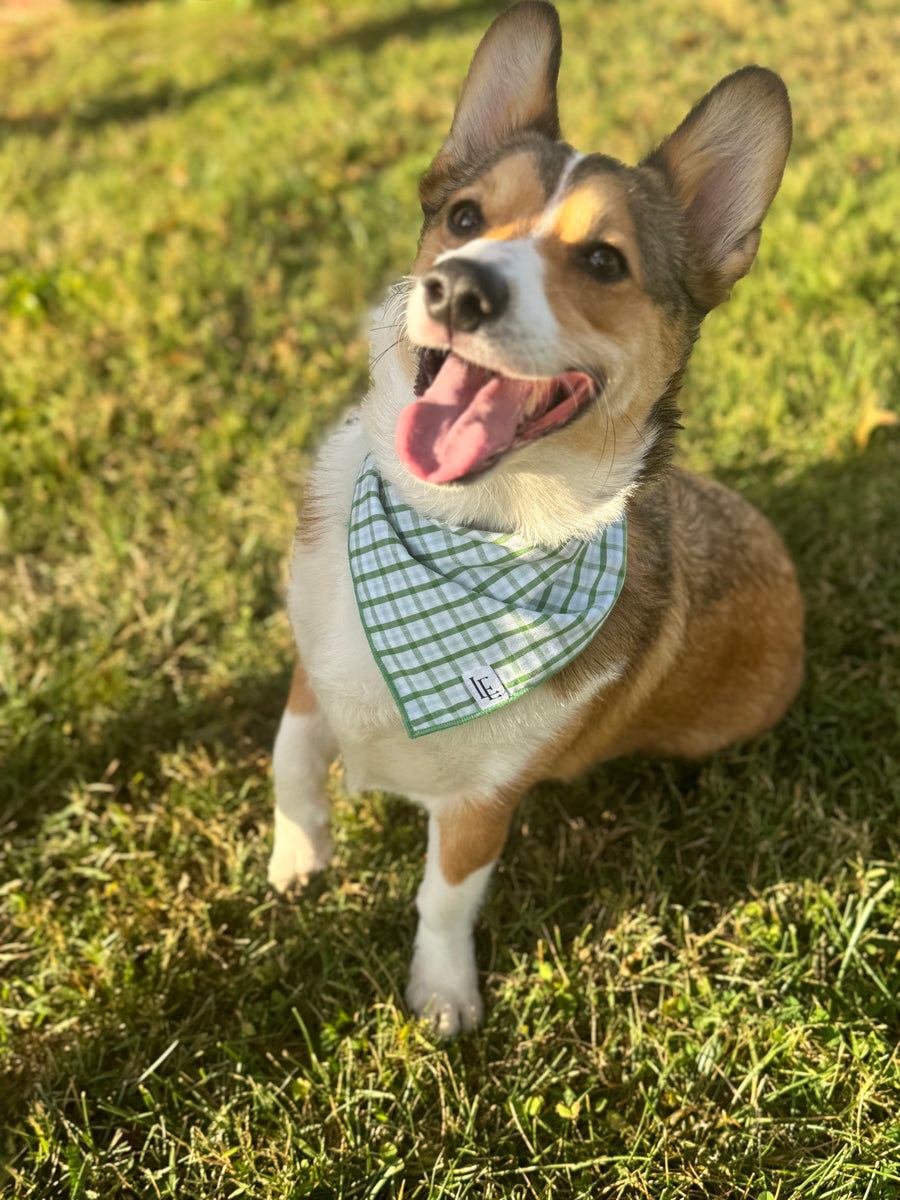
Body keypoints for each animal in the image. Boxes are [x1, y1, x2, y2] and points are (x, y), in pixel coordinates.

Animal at [266, 0, 801, 1032]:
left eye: (602, 259)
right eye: (464, 218)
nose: (458, 286)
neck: (457, 529)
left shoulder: (481, 806)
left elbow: (443, 899)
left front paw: (441, 995)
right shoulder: (313, 675)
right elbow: (294, 767)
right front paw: (298, 861)